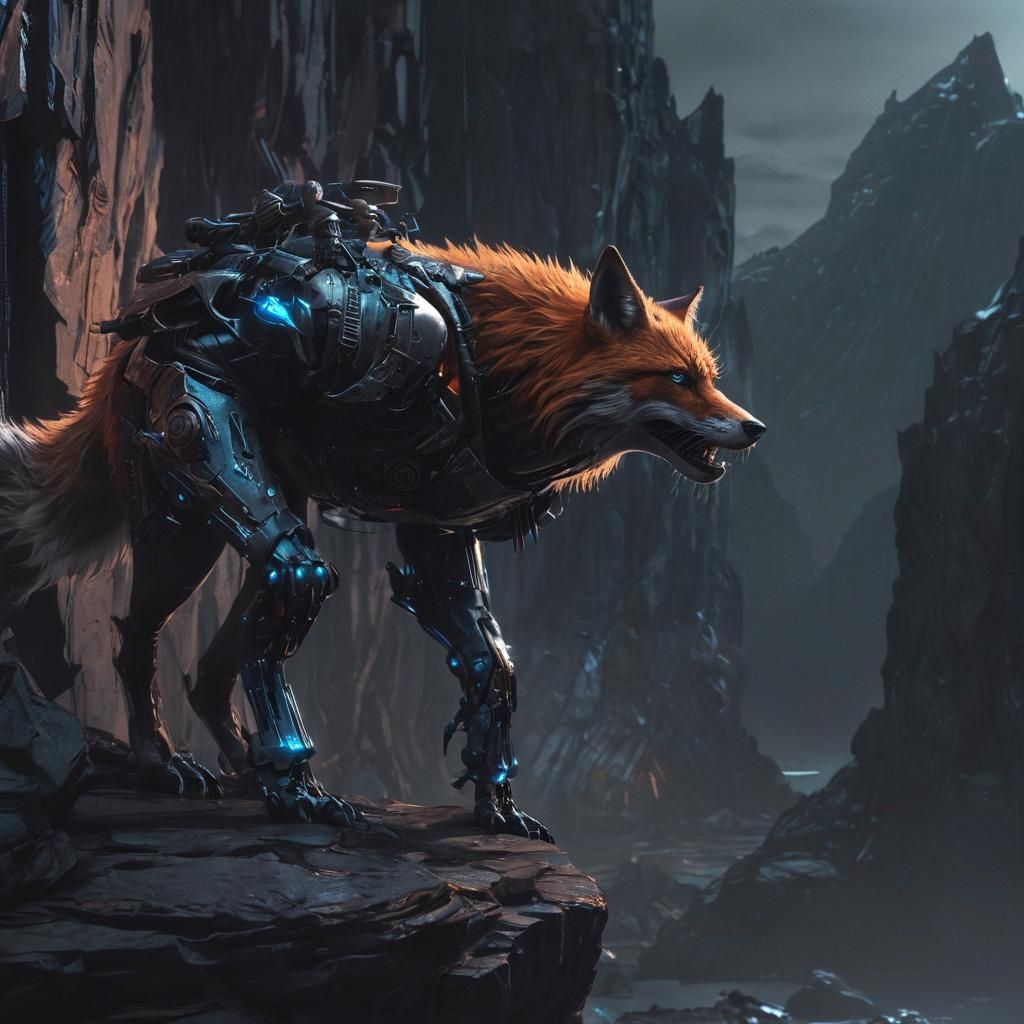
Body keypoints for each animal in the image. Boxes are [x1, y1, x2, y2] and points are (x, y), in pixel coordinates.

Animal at [0, 194, 764, 841]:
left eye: (710, 376)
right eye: (676, 379)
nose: (755, 429)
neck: (500, 366)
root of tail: (132, 338)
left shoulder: (440, 531)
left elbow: (491, 665)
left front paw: (496, 806)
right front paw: (303, 794)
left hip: (266, 510)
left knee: (218, 664)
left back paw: (254, 772)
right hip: (195, 507)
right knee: (205, 611)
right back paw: (180, 766)